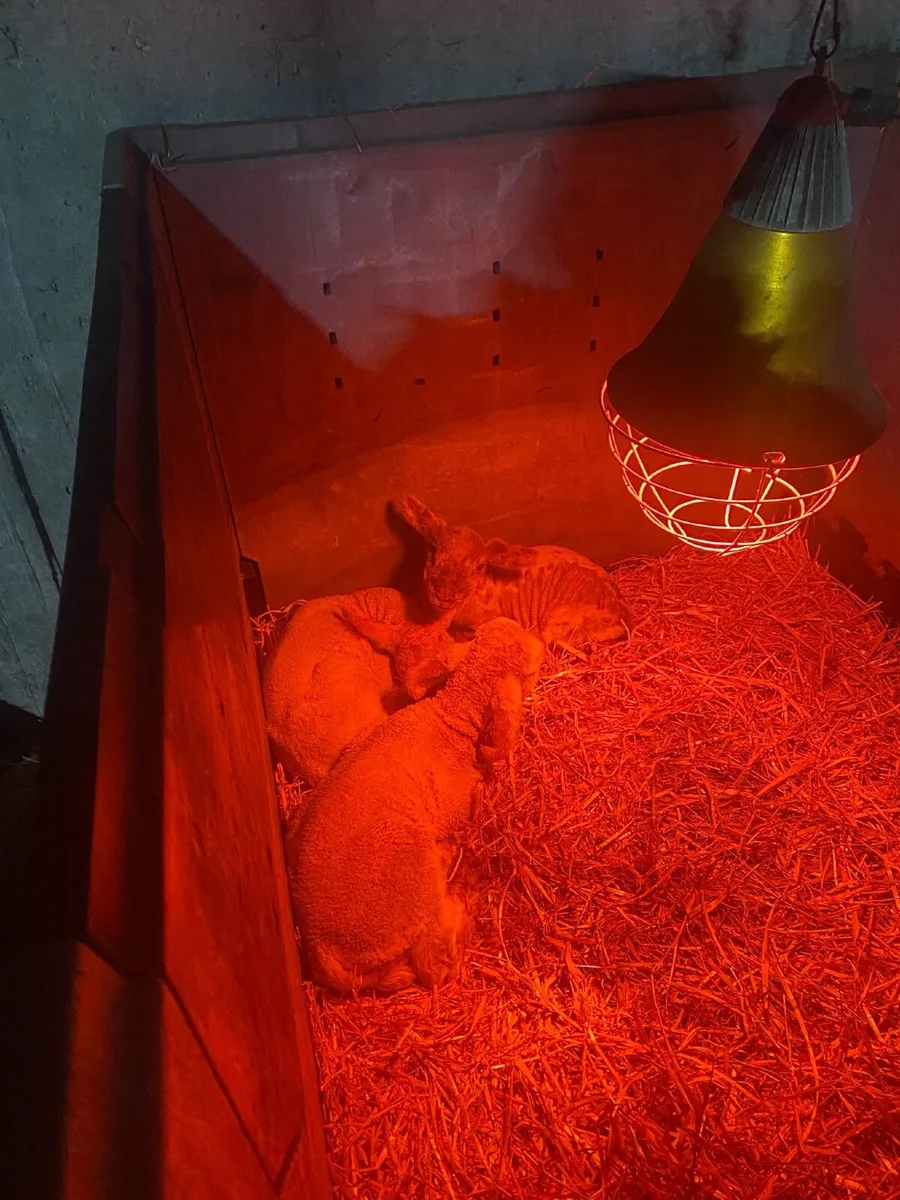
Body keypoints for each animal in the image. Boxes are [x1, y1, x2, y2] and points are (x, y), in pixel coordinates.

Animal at [284, 617, 545, 992]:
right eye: (532, 668)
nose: (539, 637)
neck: (449, 717)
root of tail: (321, 943)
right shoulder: (459, 804)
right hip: (412, 878)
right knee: (436, 965)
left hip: (297, 819)